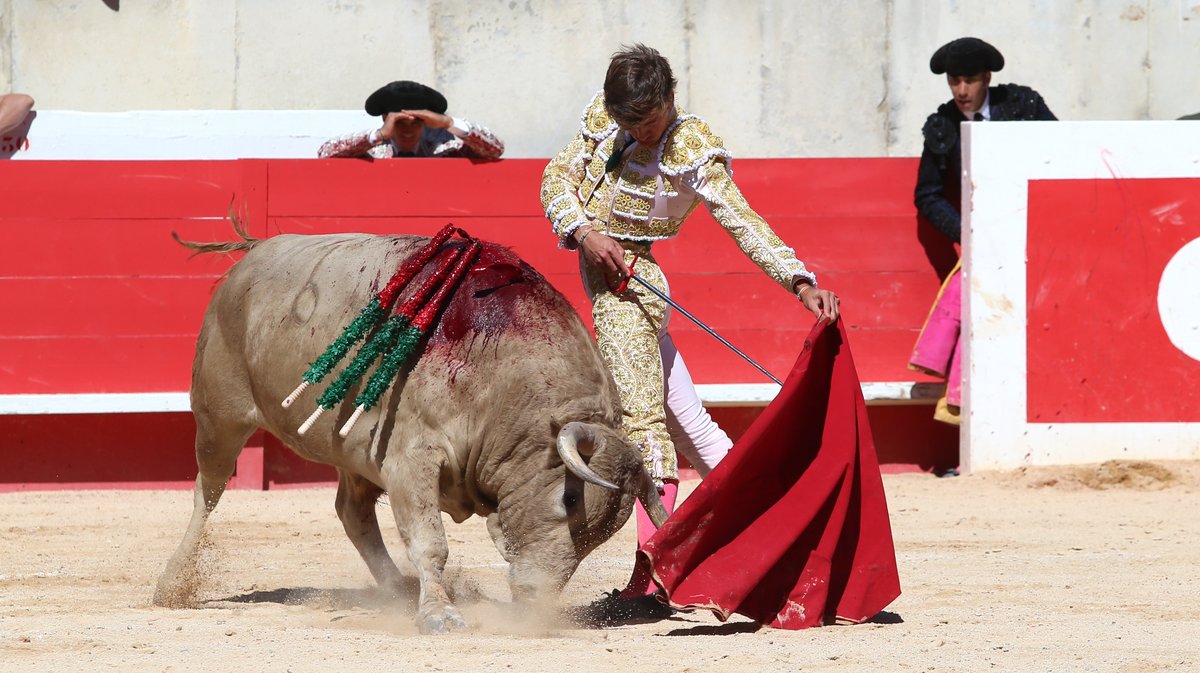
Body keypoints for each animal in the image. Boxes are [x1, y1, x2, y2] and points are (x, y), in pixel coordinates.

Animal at [152, 227, 667, 633]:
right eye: (568, 500)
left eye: (600, 536)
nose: (534, 601)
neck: (504, 375)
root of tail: (255, 252)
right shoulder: (410, 460)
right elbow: (430, 543)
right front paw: (440, 615)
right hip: (218, 416)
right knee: (207, 491)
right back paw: (172, 584)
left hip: (352, 451)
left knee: (352, 512)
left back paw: (396, 590)